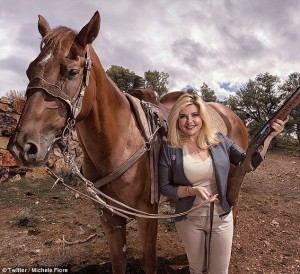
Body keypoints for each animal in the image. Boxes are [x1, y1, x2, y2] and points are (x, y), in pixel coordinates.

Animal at [8, 10, 248, 274]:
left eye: (71, 72)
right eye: (29, 70)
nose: (23, 146)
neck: (118, 143)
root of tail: (232, 115)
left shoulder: (147, 216)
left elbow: (149, 263)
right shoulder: (110, 219)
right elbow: (118, 262)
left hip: (233, 181)